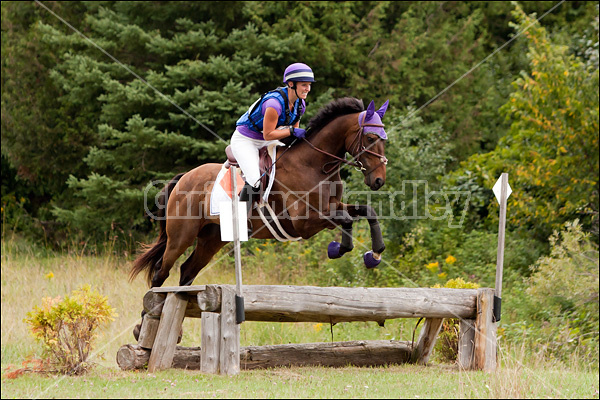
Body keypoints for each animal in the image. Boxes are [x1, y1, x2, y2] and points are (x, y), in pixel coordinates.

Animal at [130, 97, 390, 294]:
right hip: (181, 236)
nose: (379, 180)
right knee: (161, 271)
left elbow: (367, 211)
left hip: (211, 238)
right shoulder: (305, 223)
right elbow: (346, 219)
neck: (314, 165)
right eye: (370, 138)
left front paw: (375, 254)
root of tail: (185, 177)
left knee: (186, 271)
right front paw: (338, 249)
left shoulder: (334, 206)